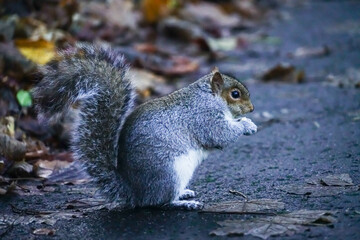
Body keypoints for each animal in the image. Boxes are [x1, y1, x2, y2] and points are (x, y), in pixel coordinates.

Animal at [33, 44, 258, 209]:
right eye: (235, 94)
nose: (252, 108)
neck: (209, 97)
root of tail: (134, 192)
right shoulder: (204, 116)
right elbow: (220, 134)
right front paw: (246, 125)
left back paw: (184, 193)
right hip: (169, 173)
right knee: (159, 201)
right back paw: (183, 203)